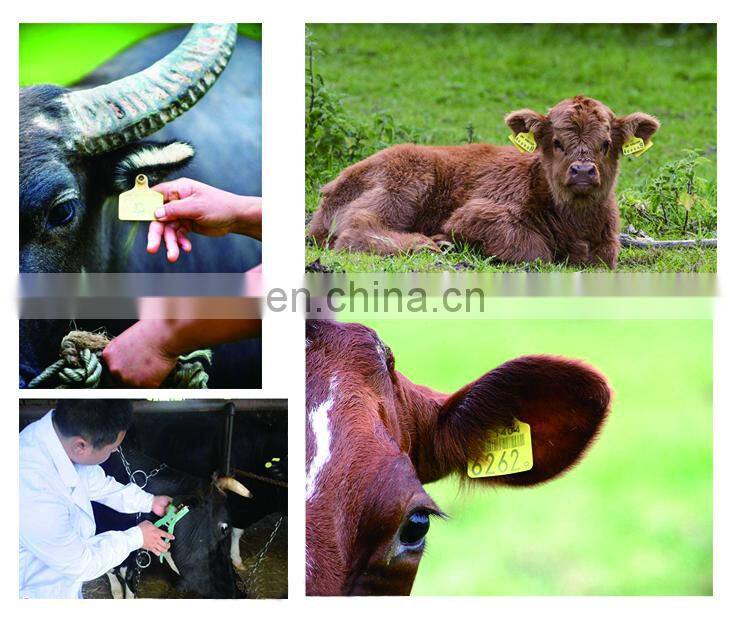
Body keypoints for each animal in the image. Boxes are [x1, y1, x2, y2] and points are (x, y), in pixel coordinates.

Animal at [308, 96, 659, 269]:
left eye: (606, 143)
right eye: (557, 142)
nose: (583, 171)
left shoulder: (606, 247)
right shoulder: (475, 214)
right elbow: (535, 251)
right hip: (404, 183)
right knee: (356, 229)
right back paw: (428, 244)